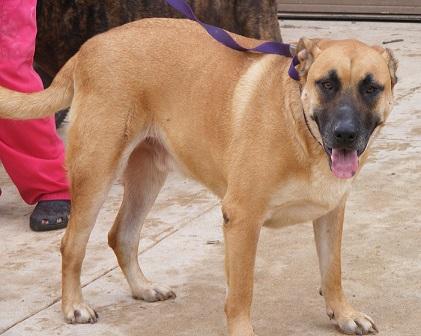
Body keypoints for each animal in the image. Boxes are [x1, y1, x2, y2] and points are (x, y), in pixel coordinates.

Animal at [0, 19, 398, 336]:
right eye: (327, 84)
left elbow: (332, 272)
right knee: (72, 244)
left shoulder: (331, 213)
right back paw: (73, 306)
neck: (301, 128)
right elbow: (241, 292)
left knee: (121, 235)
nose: (345, 134)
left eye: (371, 87)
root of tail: (88, 47)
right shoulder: (242, 219)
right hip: (97, 173)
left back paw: (143, 288)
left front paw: (343, 314)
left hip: (147, 177)